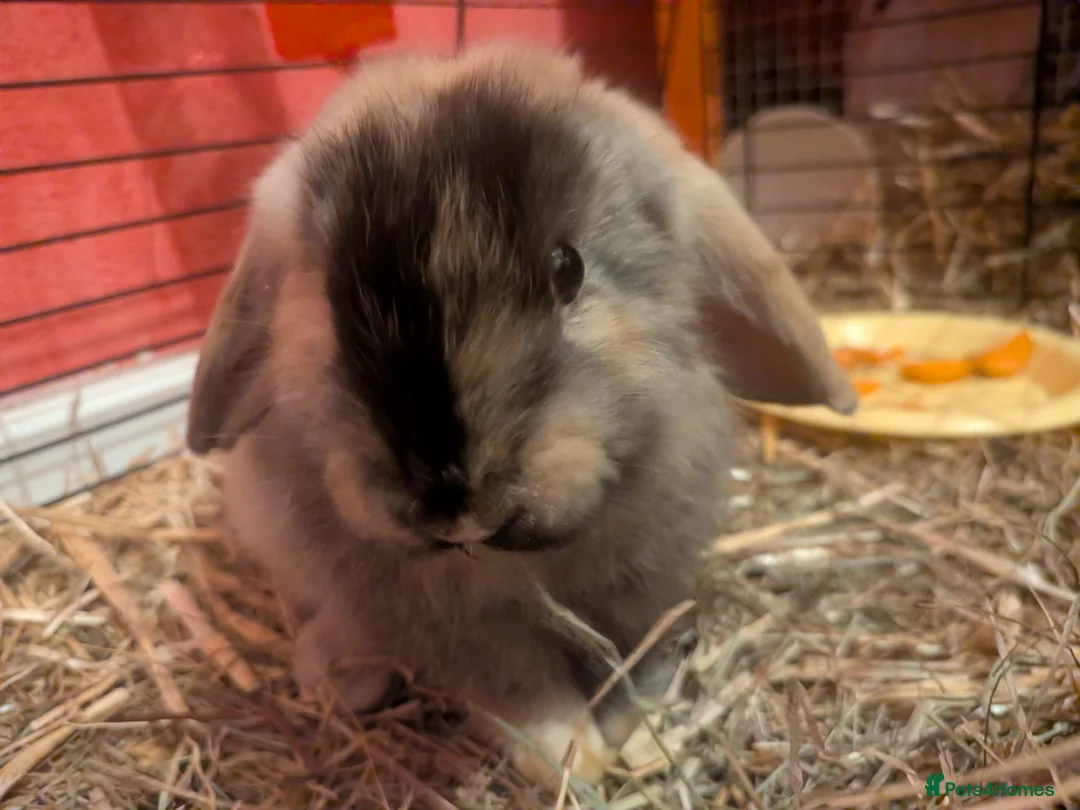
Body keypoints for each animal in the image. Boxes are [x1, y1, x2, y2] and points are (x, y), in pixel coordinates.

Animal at [186, 40, 857, 791]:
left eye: (569, 268)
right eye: (332, 297)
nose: (454, 497)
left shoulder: (644, 587)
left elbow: (636, 661)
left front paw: (638, 741)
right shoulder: (456, 625)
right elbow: (516, 688)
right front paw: (569, 754)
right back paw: (339, 675)